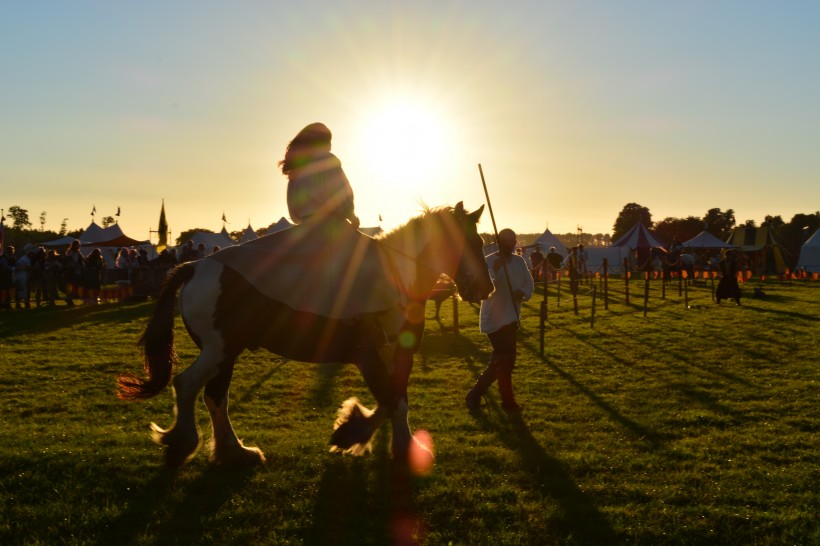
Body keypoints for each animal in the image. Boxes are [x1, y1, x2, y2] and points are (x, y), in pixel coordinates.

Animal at [117, 202, 494, 466]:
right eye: (468, 241)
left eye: (480, 240)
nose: (485, 288)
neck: (395, 276)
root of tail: (194, 266)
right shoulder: (369, 354)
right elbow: (390, 402)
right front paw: (360, 435)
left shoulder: (399, 354)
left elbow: (395, 401)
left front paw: (358, 432)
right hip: (218, 350)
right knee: (187, 385)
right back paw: (183, 441)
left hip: (226, 353)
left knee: (214, 397)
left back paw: (235, 452)